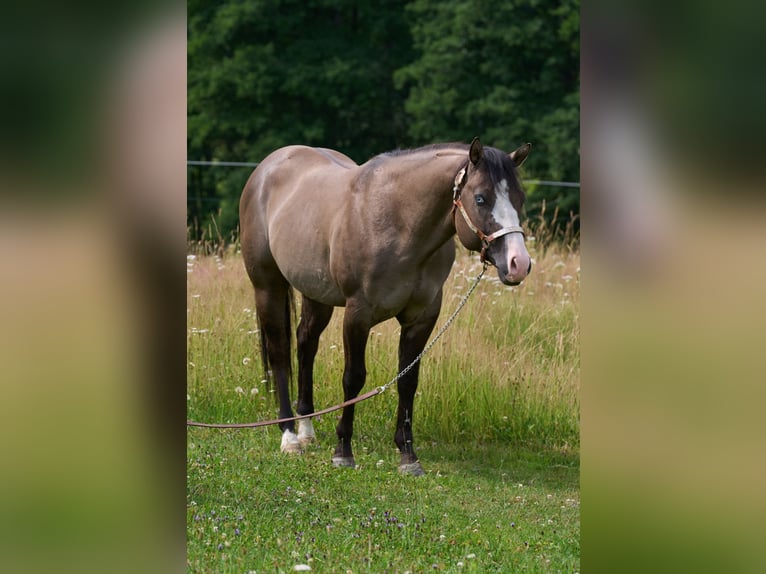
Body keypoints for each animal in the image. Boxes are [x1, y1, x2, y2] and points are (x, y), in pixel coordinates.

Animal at [239, 137, 532, 475]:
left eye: (519, 198)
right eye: (481, 198)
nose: (519, 263)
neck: (398, 222)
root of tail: (267, 168)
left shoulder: (422, 318)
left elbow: (408, 381)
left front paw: (408, 456)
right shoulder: (358, 314)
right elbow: (353, 378)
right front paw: (343, 452)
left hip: (317, 294)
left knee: (305, 344)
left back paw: (306, 429)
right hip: (268, 287)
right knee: (279, 353)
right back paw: (289, 437)